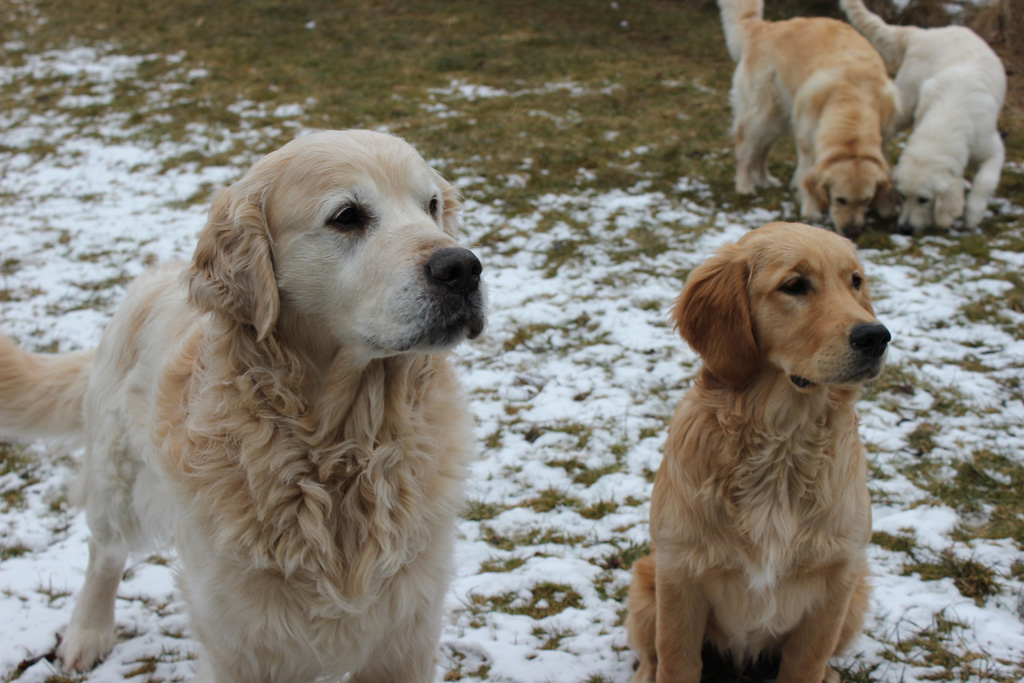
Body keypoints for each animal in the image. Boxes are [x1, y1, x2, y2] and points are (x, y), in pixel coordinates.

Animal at [0, 129, 486, 682]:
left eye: (431, 206)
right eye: (347, 216)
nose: (463, 268)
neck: (339, 451)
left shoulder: (406, 635)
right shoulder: (241, 642)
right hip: (114, 474)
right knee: (104, 552)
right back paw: (87, 632)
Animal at [626, 222, 888, 683]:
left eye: (855, 281)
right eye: (794, 285)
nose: (876, 336)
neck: (781, 445)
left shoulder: (837, 581)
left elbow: (806, 664)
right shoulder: (680, 575)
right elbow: (675, 659)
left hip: (857, 597)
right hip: (645, 581)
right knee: (651, 652)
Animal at [719, 0, 900, 235]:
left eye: (866, 200)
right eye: (840, 199)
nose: (852, 232)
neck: (853, 99)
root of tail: (765, 27)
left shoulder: (883, 136)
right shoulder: (806, 138)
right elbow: (805, 174)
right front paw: (810, 210)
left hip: (778, 120)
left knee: (761, 151)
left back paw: (764, 180)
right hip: (763, 113)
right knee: (745, 147)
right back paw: (745, 186)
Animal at [841, 0, 1007, 232]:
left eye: (923, 200)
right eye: (902, 196)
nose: (905, 229)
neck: (947, 118)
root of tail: (924, 33)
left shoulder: (993, 149)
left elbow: (984, 181)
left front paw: (972, 215)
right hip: (905, 104)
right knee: (884, 133)